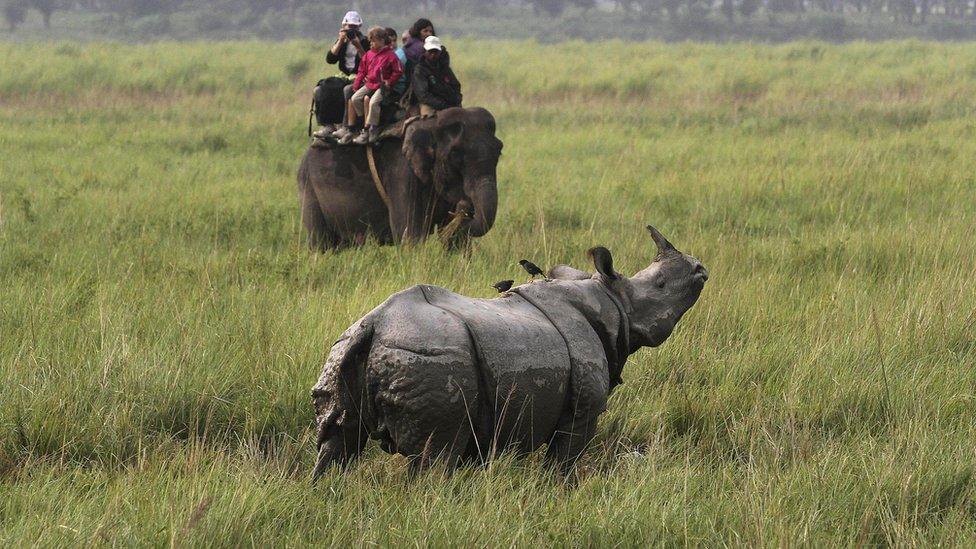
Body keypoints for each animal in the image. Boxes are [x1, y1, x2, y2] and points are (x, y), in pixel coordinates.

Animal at [296, 105, 504, 250]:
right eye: (455, 155)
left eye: (499, 151)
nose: (464, 207)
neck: (430, 123)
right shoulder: (401, 173)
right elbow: (409, 233)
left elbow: (458, 242)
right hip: (308, 187)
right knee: (321, 243)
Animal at [308, 225, 704, 478]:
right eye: (660, 284)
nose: (700, 268)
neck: (612, 301)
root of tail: (375, 325)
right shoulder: (581, 412)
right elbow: (564, 462)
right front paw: (558, 494)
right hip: (430, 356)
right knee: (433, 459)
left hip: (345, 350)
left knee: (337, 444)